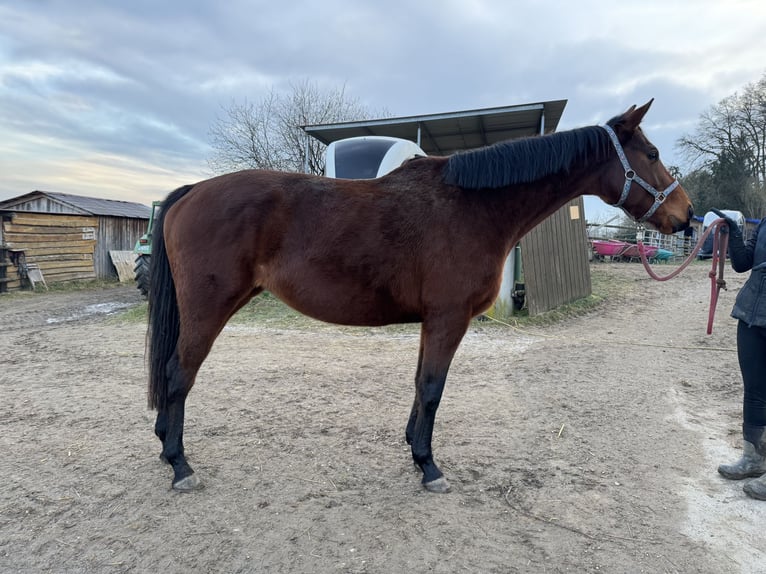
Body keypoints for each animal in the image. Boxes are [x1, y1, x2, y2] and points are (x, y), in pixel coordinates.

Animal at [147, 100, 692, 496]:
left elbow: (418, 385)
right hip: (208, 309)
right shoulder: (449, 318)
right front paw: (429, 467)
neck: (473, 206)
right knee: (178, 375)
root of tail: (193, 191)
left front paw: (414, 449)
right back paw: (179, 465)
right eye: (651, 154)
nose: (686, 216)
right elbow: (432, 389)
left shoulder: (432, 321)